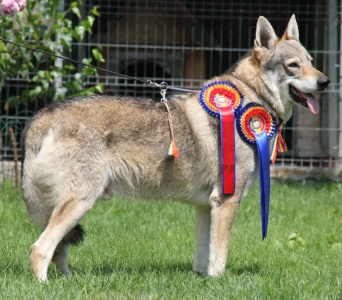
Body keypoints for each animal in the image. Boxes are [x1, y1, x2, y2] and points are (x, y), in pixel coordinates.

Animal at [20, 14, 328, 282]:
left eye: (312, 62)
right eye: (293, 65)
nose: (325, 82)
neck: (249, 99)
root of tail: (42, 115)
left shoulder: (207, 205)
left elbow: (204, 255)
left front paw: (204, 281)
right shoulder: (227, 200)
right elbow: (221, 254)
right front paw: (220, 283)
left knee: (58, 250)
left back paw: (69, 281)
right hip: (81, 201)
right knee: (40, 248)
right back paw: (45, 286)